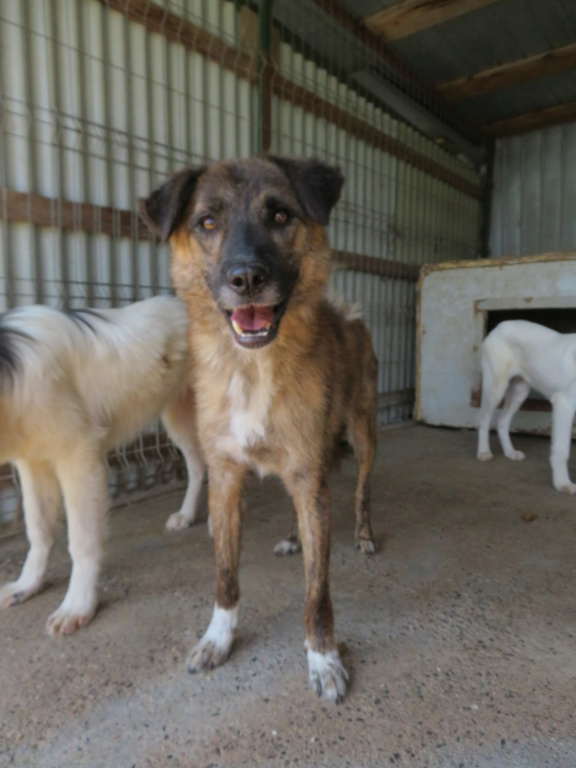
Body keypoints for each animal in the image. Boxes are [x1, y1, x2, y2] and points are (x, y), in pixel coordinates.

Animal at [0, 296, 206, 632]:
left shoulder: (79, 457)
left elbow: (82, 541)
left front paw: (78, 605)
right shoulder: (33, 464)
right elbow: (38, 531)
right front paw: (26, 585)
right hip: (177, 416)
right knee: (199, 467)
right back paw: (187, 516)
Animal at [142, 154, 378, 704]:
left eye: (280, 216)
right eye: (208, 222)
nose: (246, 277)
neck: (251, 369)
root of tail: (350, 316)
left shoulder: (310, 476)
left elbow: (317, 591)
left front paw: (323, 658)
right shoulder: (227, 478)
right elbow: (226, 577)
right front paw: (218, 638)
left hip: (362, 436)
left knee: (360, 490)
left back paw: (362, 534)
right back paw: (295, 537)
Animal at [476, 320, 576, 492]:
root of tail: (500, 326)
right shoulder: (564, 403)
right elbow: (562, 449)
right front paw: (562, 483)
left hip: (519, 392)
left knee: (502, 420)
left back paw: (510, 452)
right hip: (496, 387)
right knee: (483, 417)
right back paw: (484, 451)